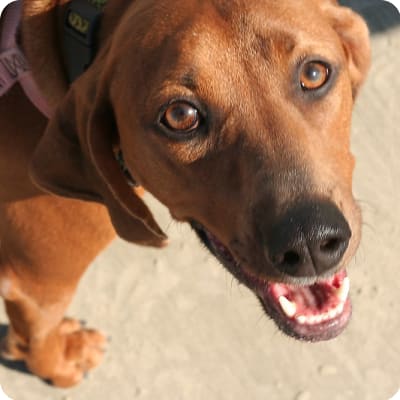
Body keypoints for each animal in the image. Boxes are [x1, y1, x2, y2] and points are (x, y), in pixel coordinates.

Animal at [0, 0, 370, 388]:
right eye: (180, 115)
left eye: (314, 74)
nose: (310, 242)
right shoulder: (35, 283)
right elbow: (40, 334)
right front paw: (55, 368)